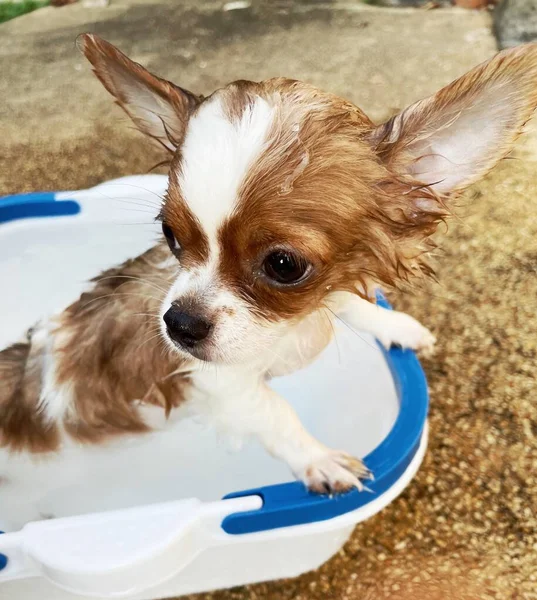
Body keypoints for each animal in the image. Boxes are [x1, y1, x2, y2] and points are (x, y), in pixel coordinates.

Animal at [1, 36, 536, 524]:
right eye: (171, 235)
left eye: (284, 265)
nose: (179, 324)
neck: (290, 326)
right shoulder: (217, 383)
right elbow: (276, 411)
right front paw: (318, 458)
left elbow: (348, 300)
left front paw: (395, 324)